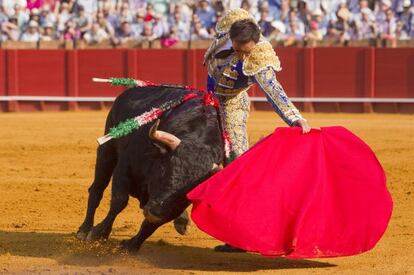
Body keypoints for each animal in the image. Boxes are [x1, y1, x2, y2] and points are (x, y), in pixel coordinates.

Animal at [76, 85, 225, 252]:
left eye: (188, 194)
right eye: (164, 171)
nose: (155, 212)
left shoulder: (170, 207)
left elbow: (152, 225)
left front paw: (131, 246)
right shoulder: (124, 168)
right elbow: (119, 201)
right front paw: (99, 233)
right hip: (107, 151)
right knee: (97, 188)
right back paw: (84, 229)